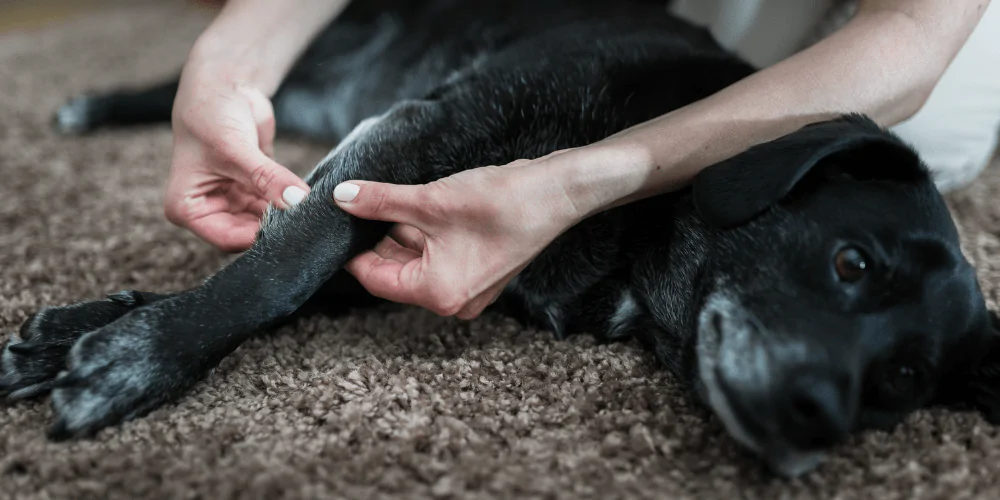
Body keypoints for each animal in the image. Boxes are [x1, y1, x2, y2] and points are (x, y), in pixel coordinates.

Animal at [1, 0, 1000, 478]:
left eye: (903, 382)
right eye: (851, 261)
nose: (820, 416)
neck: (641, 238)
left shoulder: (402, 221)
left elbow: (297, 275)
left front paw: (75, 337)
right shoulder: (413, 135)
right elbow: (283, 269)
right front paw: (135, 360)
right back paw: (98, 105)